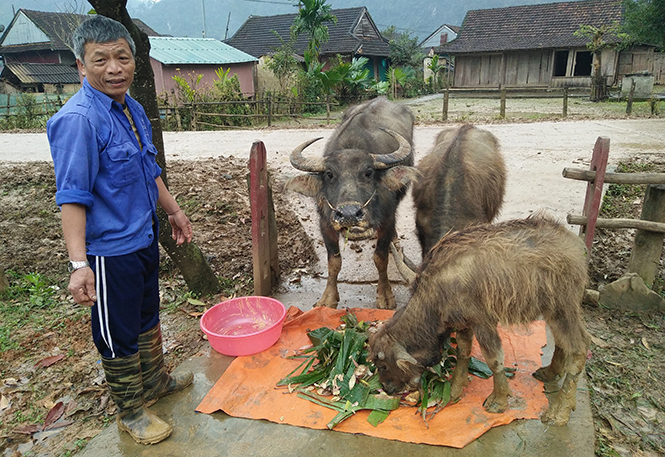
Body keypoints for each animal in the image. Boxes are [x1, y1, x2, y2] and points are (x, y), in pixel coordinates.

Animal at [284, 96, 416, 310]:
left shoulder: (387, 219)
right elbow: (334, 261)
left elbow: (381, 258)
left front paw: (385, 295)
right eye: (329, 174)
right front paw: (328, 298)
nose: (348, 215)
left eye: (368, 173)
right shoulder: (325, 222)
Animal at [368, 214, 592, 424]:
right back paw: (549, 373)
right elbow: (463, 352)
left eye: (383, 365)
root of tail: (577, 245)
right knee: (563, 341)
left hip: (564, 307)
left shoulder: (483, 322)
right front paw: (455, 389)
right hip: (552, 309)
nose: (386, 389)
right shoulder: (463, 323)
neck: (436, 294)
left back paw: (559, 411)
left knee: (580, 347)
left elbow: (494, 360)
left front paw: (498, 401)